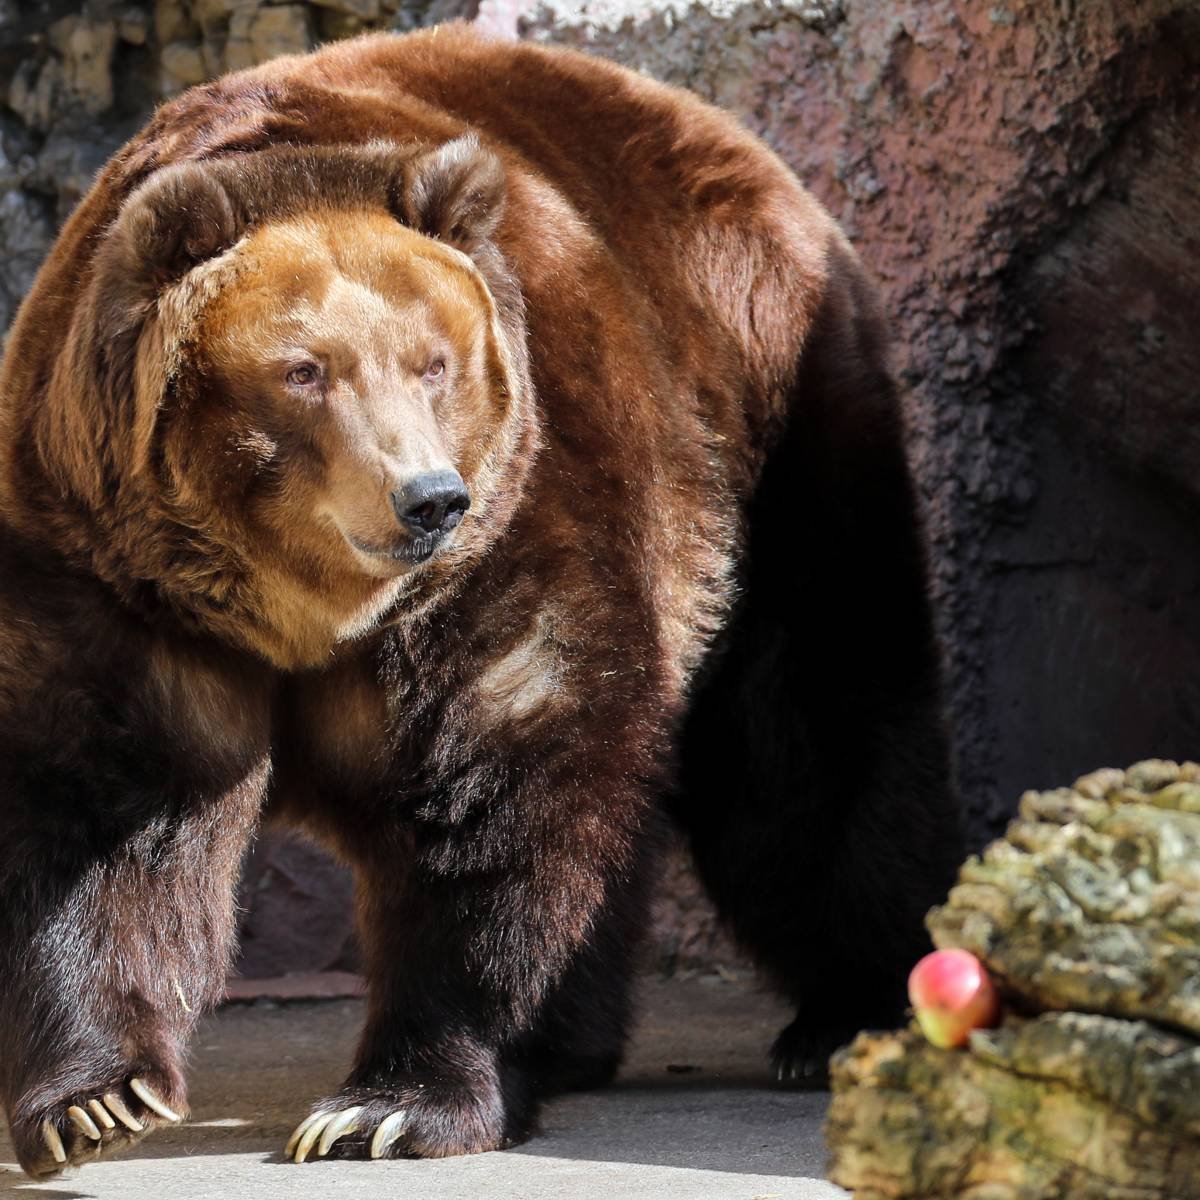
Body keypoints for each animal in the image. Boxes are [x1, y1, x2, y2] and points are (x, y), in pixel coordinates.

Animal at [0, 24, 961, 1178]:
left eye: (434, 362)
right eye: (305, 370)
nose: (428, 498)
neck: (297, 605)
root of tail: (742, 147)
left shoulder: (509, 530)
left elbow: (500, 779)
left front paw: (389, 1107)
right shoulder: (117, 574)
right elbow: (115, 815)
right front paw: (93, 1100)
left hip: (775, 430)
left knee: (808, 731)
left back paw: (846, 1013)